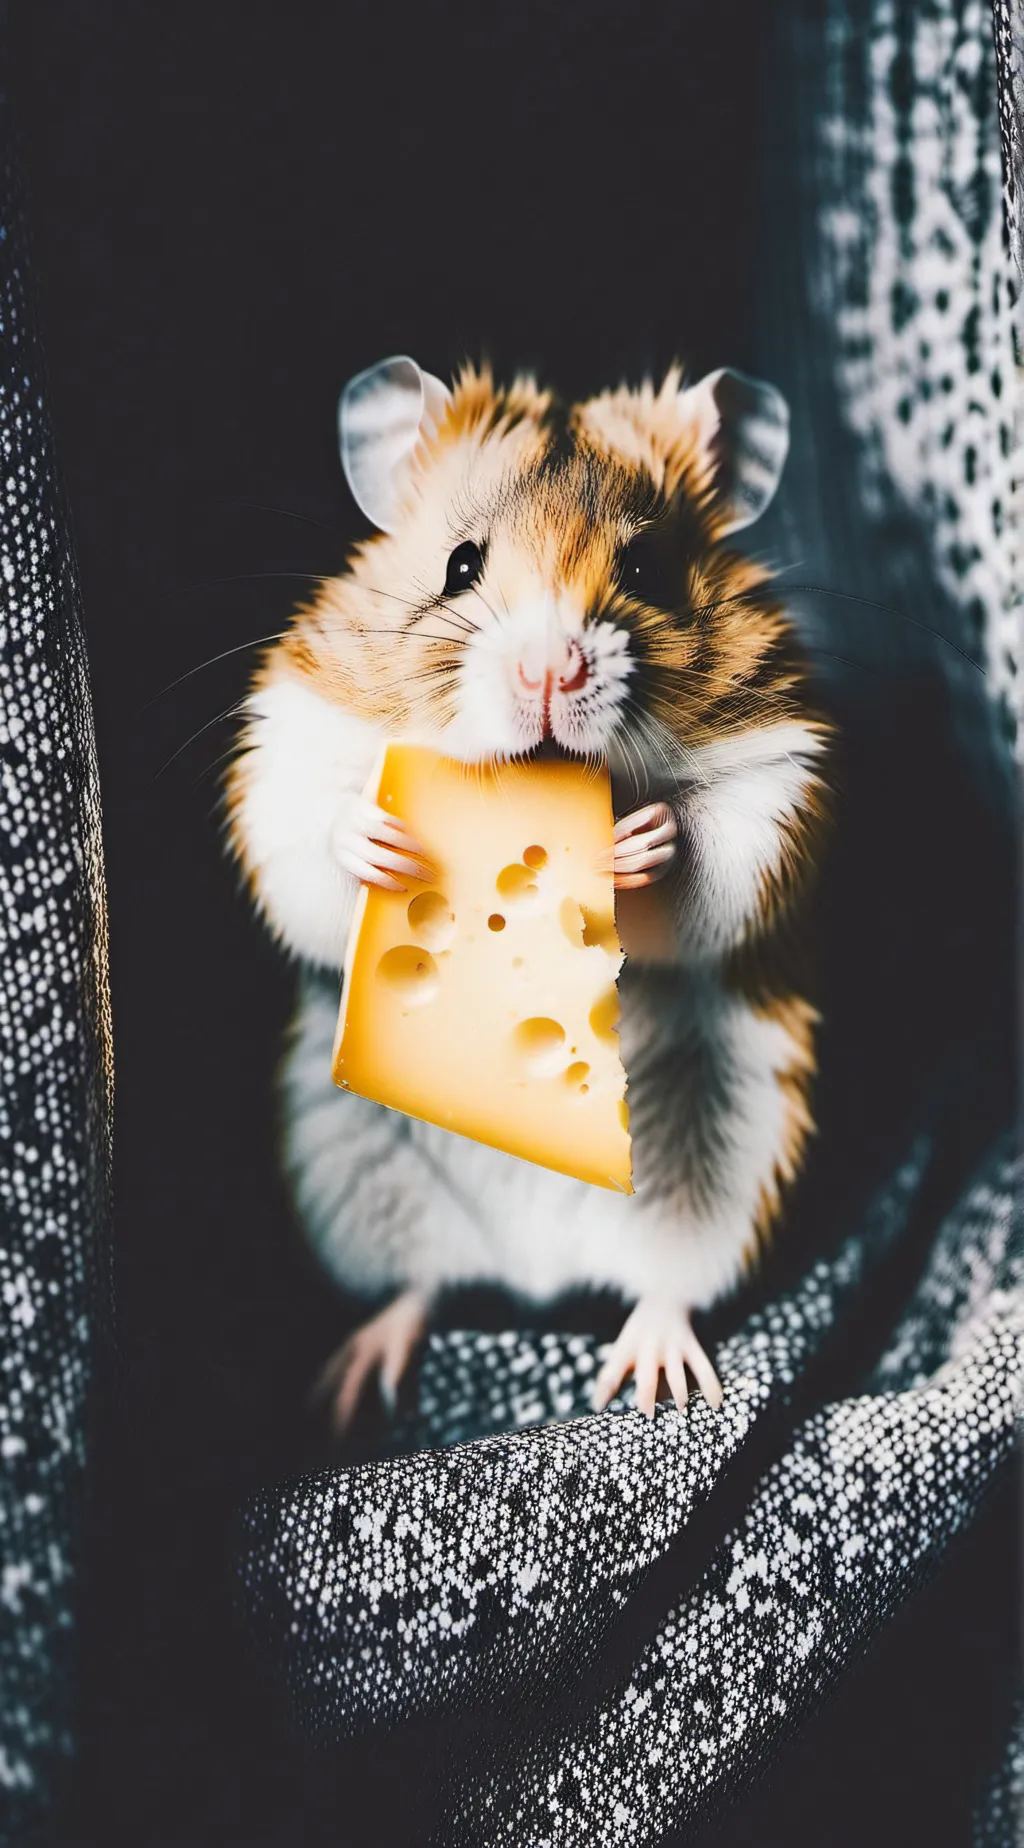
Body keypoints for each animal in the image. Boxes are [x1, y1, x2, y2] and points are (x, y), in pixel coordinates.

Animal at [225, 354, 831, 1431]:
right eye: (460, 565)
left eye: (646, 572)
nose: (551, 669)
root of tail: (536, 1266)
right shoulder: (286, 739)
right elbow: (304, 833)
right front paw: (376, 839)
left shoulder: (778, 775)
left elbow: (716, 842)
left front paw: (641, 842)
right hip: (351, 1169)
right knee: (423, 1281)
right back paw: (354, 1383)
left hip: (734, 1166)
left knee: (667, 1286)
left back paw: (651, 1377)